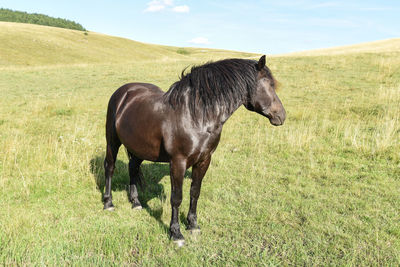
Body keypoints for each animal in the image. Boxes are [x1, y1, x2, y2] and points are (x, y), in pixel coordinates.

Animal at [102, 55, 284, 247]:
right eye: (269, 85)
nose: (281, 116)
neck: (195, 115)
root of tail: (123, 92)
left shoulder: (204, 160)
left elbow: (195, 192)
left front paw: (193, 225)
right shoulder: (178, 162)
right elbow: (176, 197)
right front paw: (176, 233)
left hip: (139, 147)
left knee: (133, 168)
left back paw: (136, 202)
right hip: (112, 141)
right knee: (110, 167)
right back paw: (108, 203)